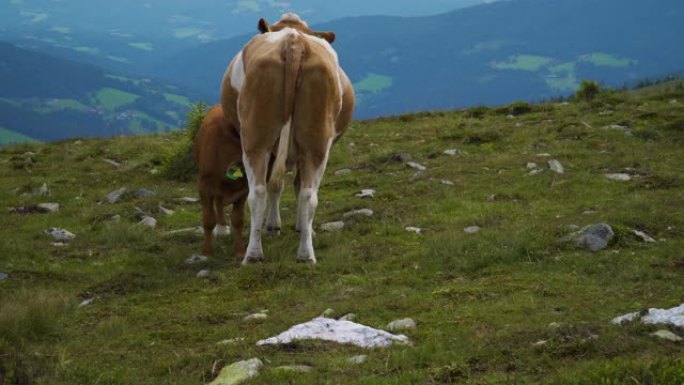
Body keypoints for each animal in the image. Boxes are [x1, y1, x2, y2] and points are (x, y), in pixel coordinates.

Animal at [195, 103, 248, 258]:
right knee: (218, 203)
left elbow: (238, 220)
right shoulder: (204, 187)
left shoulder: (243, 192)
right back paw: (221, 227)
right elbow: (208, 220)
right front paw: (206, 251)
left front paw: (240, 250)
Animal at [220, 12, 358, 264]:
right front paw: (300, 227)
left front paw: (275, 226)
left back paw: (254, 254)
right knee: (307, 194)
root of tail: (294, 42)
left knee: (259, 192)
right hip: (316, 142)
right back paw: (305, 254)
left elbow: (277, 185)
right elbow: (290, 185)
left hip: (256, 139)